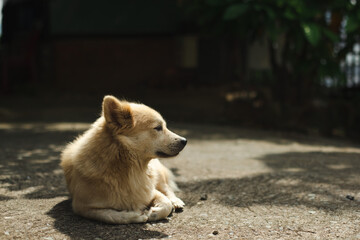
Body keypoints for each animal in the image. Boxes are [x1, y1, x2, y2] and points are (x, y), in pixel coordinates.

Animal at [59, 95, 187, 223]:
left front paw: (154, 213)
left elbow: (166, 203)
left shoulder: (149, 191)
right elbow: (111, 217)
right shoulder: (83, 208)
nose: (185, 141)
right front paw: (136, 215)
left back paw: (176, 201)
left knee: (166, 188)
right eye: (158, 128)